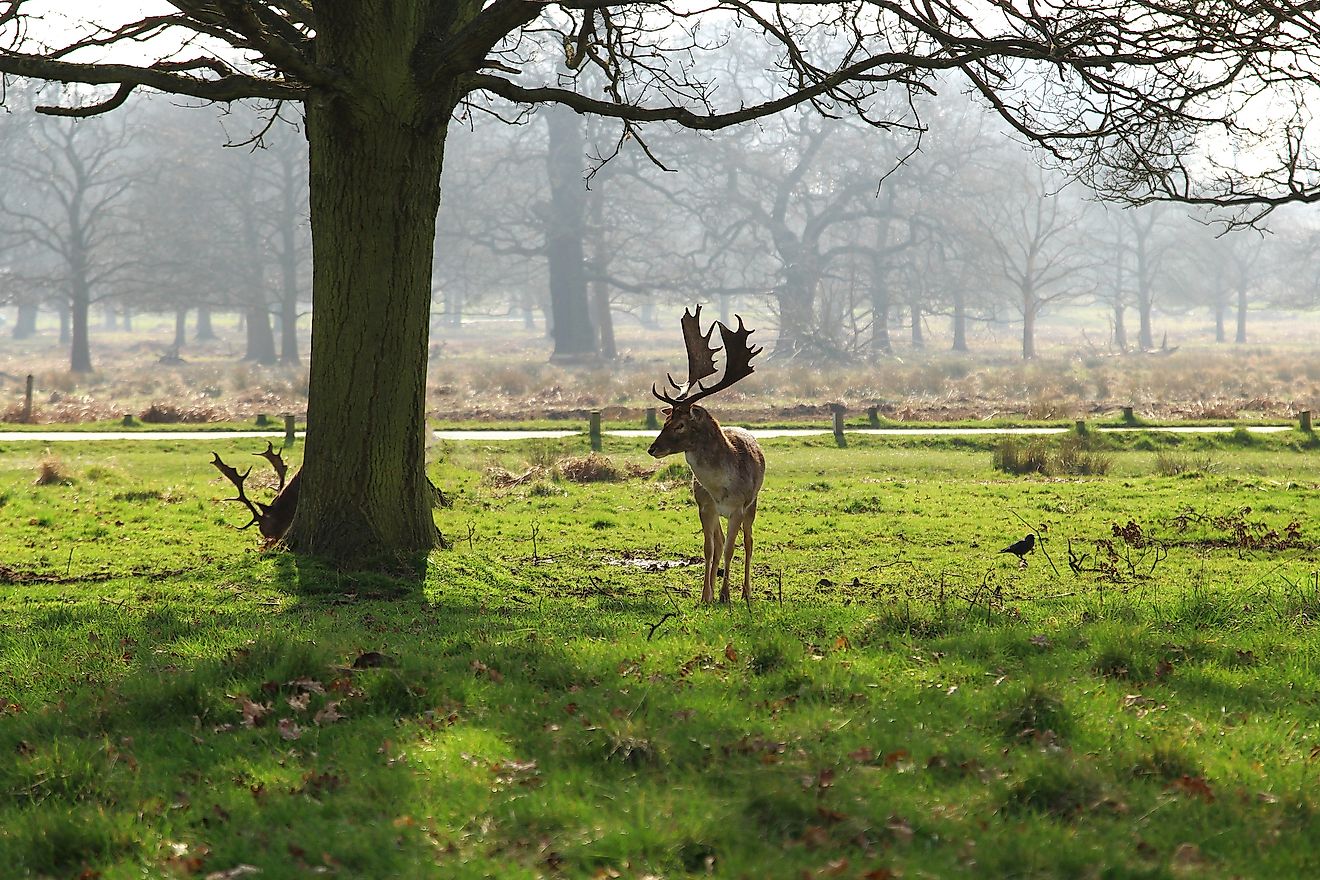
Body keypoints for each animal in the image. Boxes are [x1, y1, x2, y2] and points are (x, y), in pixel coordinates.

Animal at [646, 304, 765, 606]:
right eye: (665, 420)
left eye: (680, 424)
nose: (652, 448)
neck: (720, 487)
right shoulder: (704, 506)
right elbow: (710, 549)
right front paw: (705, 596)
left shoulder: (737, 507)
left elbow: (731, 549)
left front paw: (725, 595)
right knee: (720, 542)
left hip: (753, 503)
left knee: (749, 543)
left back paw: (746, 592)